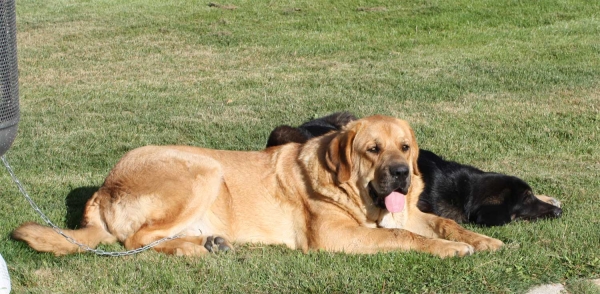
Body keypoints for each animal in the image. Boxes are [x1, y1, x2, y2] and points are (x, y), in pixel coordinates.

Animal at [12, 115, 502, 258]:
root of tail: (103, 187)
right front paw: (451, 250)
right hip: (202, 169)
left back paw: (208, 242)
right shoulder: (334, 236)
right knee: (136, 240)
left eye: (405, 147)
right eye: (372, 150)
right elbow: (403, 236)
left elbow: (441, 223)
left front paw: (481, 239)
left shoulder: (412, 212)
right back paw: (195, 249)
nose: (402, 172)